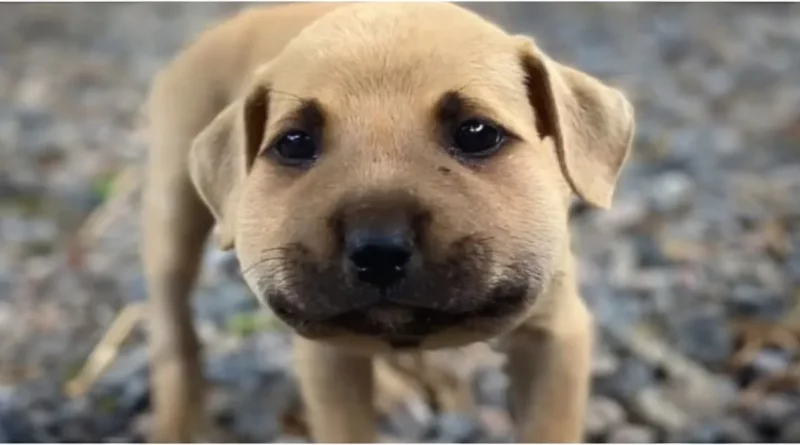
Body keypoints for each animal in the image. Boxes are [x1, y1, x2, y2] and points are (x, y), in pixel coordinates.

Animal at [141, 2, 636, 440]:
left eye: (477, 133)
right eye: (294, 143)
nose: (378, 248)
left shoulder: (555, 339)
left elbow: (548, 427)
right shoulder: (328, 364)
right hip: (174, 215)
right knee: (173, 326)